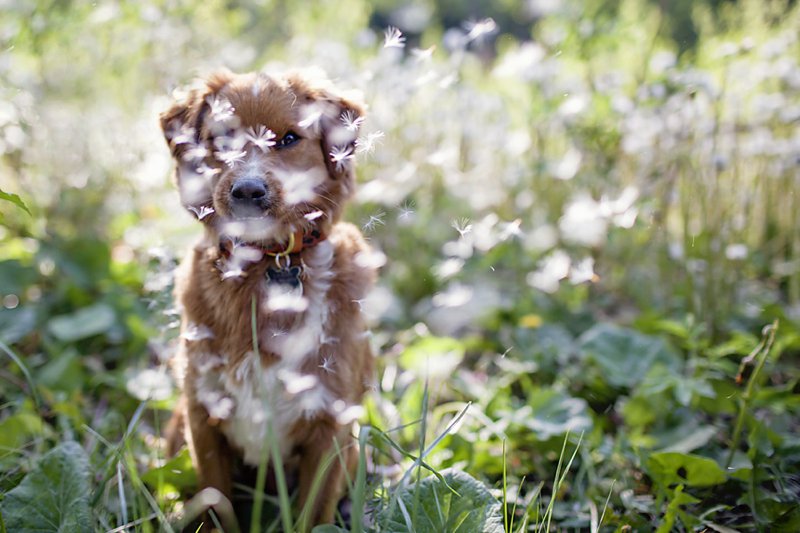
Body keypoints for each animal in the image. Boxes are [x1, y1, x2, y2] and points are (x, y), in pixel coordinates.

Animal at [159, 69, 378, 528]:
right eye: (221, 139)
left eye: (290, 139)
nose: (248, 190)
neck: (269, 261)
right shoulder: (203, 414)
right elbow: (215, 502)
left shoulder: (330, 426)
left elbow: (312, 515)